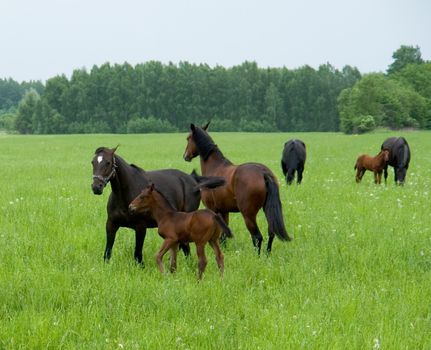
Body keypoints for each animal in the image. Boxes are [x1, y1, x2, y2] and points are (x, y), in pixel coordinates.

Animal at [91, 146, 226, 266]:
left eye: (108, 163)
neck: (125, 195)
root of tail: (192, 179)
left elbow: (138, 254)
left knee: (186, 247)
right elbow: (108, 251)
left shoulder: (140, 227)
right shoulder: (111, 224)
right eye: (93, 162)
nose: (96, 187)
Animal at [182, 123, 290, 254]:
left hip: (248, 215)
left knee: (257, 237)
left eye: (188, 138)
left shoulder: (213, 209)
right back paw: (267, 254)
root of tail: (262, 172)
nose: (185, 156)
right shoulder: (224, 211)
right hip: (266, 209)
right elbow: (223, 234)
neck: (215, 167)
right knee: (271, 233)